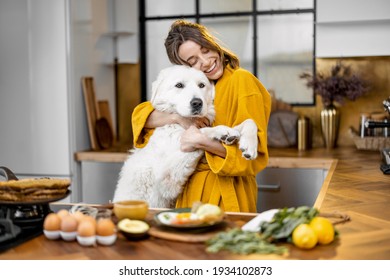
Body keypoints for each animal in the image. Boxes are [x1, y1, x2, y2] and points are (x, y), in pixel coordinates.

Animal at [112, 65, 258, 208]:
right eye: (179, 85)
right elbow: (201, 131)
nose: (197, 103)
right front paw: (223, 132)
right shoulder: (167, 178)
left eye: (201, 85)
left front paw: (249, 145)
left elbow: (249, 121)